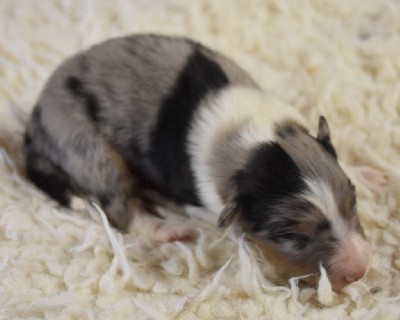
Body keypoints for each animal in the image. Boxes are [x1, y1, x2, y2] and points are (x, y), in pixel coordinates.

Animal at [25, 34, 370, 290]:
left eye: (352, 203)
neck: (255, 139)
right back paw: (165, 229)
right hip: (88, 148)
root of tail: (36, 115)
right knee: (119, 205)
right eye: (294, 236)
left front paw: (365, 172)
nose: (360, 271)